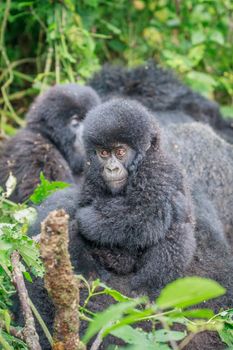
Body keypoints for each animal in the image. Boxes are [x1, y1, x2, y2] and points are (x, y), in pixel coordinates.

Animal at [77, 98, 196, 290]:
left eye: (120, 152)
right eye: (103, 153)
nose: (111, 168)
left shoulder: (157, 170)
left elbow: (142, 215)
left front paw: (85, 219)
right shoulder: (92, 175)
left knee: (177, 230)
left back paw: (145, 288)